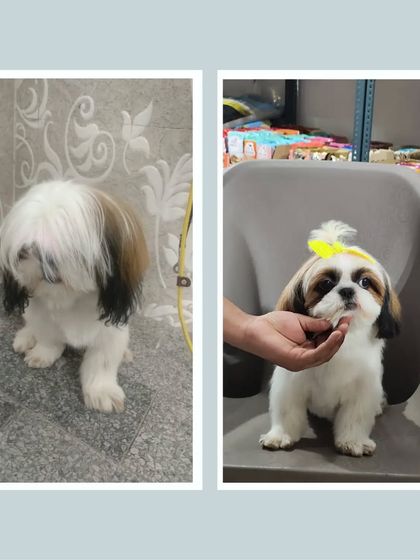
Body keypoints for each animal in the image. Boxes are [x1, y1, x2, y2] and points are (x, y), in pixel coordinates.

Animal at [0, 180, 149, 413]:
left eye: (71, 244)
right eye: (28, 248)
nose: (48, 258)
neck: (70, 299)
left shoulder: (110, 332)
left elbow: (102, 360)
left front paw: (101, 391)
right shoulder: (42, 317)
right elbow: (49, 338)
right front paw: (43, 353)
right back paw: (26, 337)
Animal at [259, 220, 401, 456]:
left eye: (365, 282)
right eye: (326, 284)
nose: (347, 290)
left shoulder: (363, 388)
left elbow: (355, 417)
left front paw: (353, 442)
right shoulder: (290, 383)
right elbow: (287, 411)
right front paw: (280, 436)